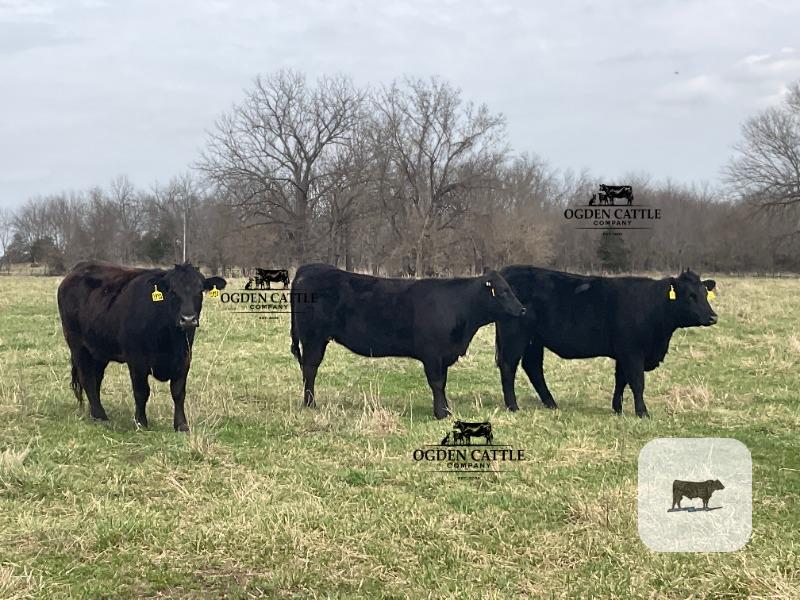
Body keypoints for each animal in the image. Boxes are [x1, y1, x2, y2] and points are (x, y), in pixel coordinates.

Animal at [57, 261, 227, 431]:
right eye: (172, 291)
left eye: (200, 290)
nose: (188, 319)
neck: (169, 340)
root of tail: (80, 268)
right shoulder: (137, 361)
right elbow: (141, 391)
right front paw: (141, 422)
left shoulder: (184, 358)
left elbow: (178, 392)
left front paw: (181, 425)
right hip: (77, 345)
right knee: (87, 378)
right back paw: (100, 416)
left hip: (98, 350)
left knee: (96, 379)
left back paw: (97, 413)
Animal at [289, 264, 526, 419]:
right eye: (503, 291)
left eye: (510, 289)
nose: (522, 309)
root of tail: (308, 269)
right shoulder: (432, 355)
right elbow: (437, 383)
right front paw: (441, 413)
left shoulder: (443, 355)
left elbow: (443, 383)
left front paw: (446, 410)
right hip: (313, 338)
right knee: (310, 369)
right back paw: (310, 404)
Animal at [495, 267, 717, 417]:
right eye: (690, 295)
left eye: (705, 293)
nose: (713, 317)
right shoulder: (633, 352)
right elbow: (637, 382)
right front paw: (642, 412)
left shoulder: (623, 353)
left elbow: (621, 380)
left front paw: (617, 408)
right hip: (515, 336)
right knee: (509, 366)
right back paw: (513, 406)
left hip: (534, 341)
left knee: (533, 368)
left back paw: (551, 403)